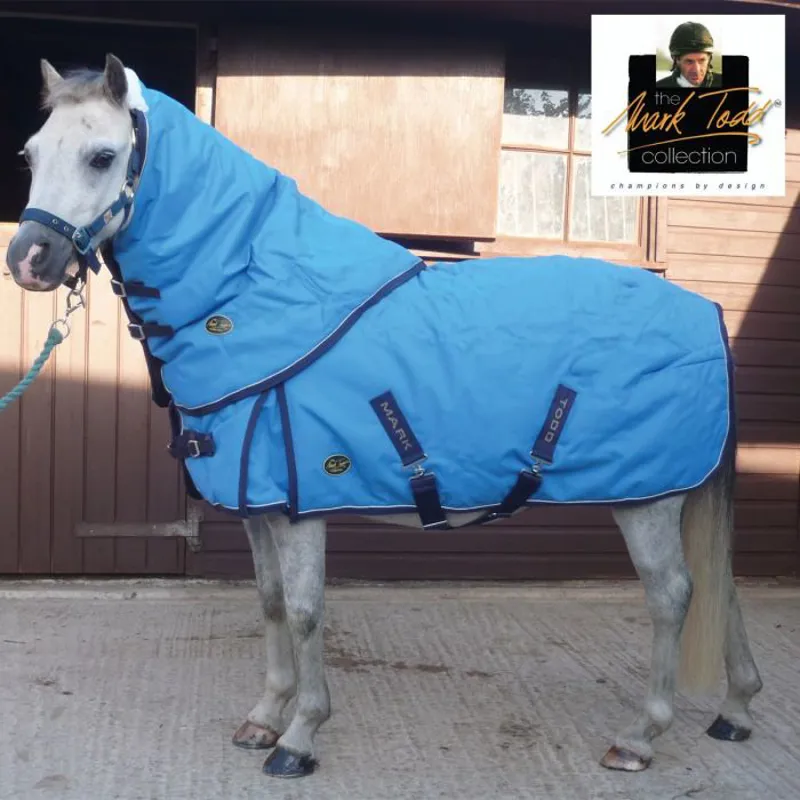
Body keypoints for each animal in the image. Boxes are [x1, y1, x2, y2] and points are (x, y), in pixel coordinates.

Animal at [5, 53, 763, 780]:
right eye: (31, 154)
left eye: (102, 156)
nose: (29, 260)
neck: (252, 294)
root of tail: (705, 311)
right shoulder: (257, 502)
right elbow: (271, 602)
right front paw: (264, 718)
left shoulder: (298, 501)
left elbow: (306, 610)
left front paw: (300, 737)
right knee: (721, 584)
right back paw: (735, 710)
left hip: (648, 497)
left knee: (673, 595)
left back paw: (641, 737)